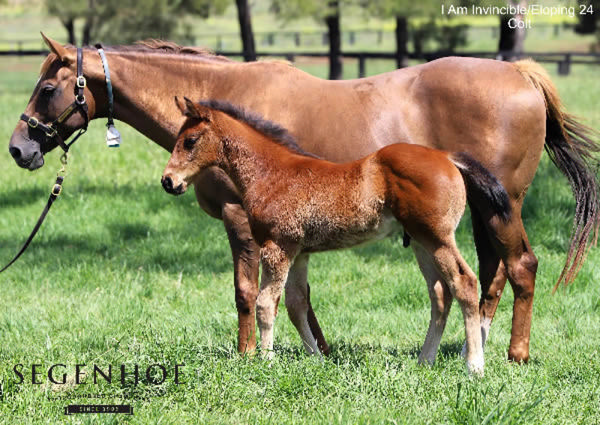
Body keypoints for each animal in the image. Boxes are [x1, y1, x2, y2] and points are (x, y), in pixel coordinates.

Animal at [162, 97, 512, 374]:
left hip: (438, 238)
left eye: (190, 140)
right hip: (421, 242)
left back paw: (474, 365)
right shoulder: (298, 252)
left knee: (464, 283)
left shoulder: (276, 248)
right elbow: (296, 304)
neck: (270, 174)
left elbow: (266, 303)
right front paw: (317, 359)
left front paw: (266, 361)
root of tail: (448, 158)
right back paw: (425, 361)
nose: (168, 181)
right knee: (440, 293)